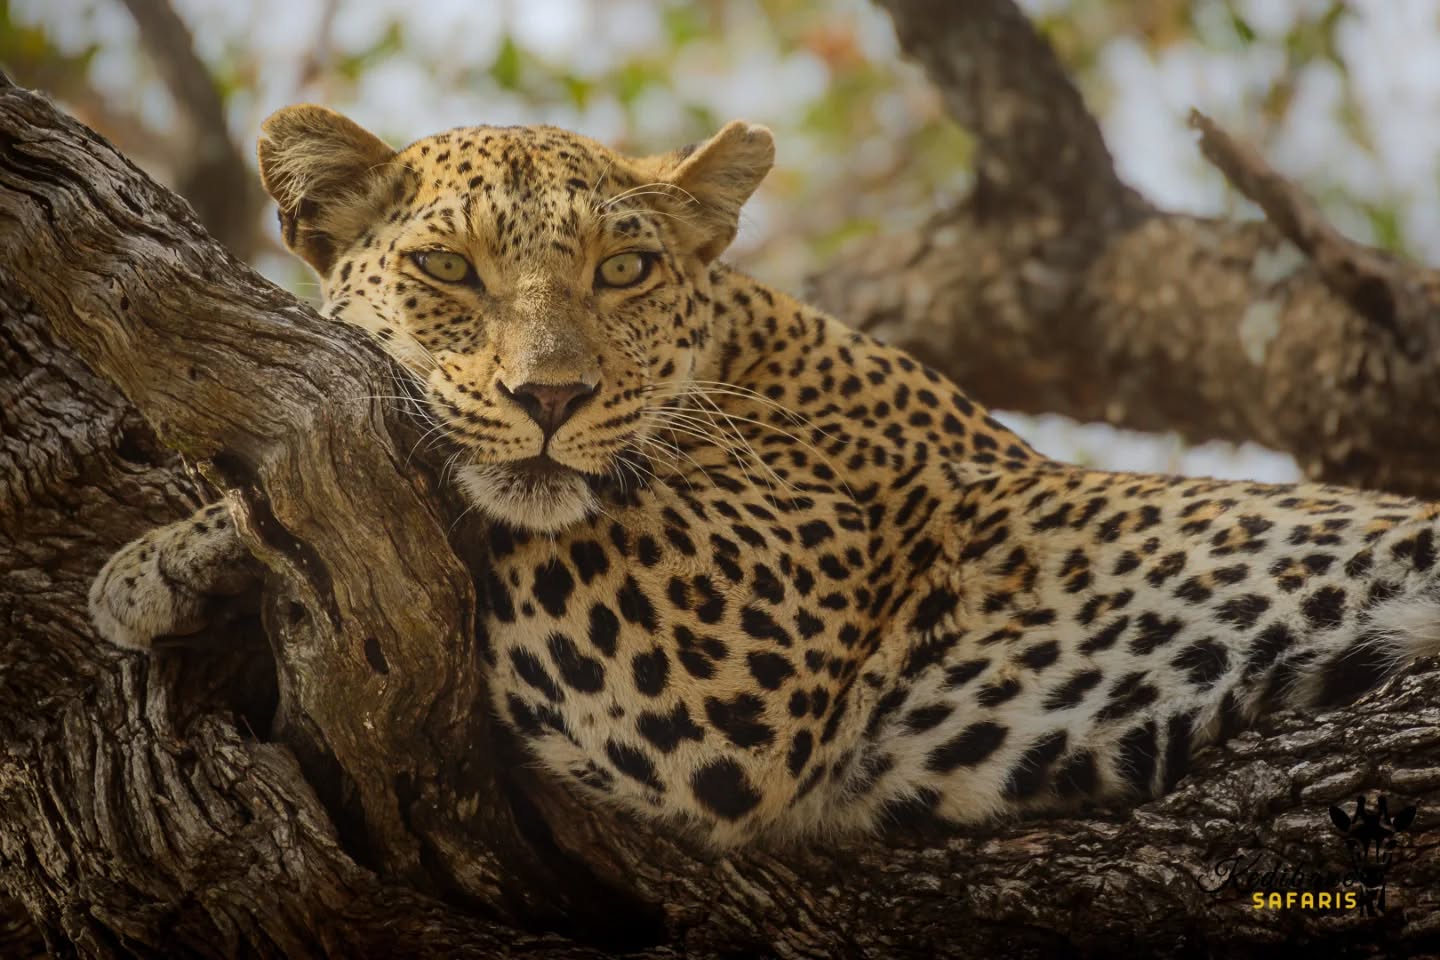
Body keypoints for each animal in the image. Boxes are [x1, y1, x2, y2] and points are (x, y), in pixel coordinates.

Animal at [91, 104, 1440, 849]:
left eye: (623, 270)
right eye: (449, 270)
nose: (550, 397)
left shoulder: (746, 629)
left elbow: (450, 491)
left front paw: (158, 555)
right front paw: (163, 564)